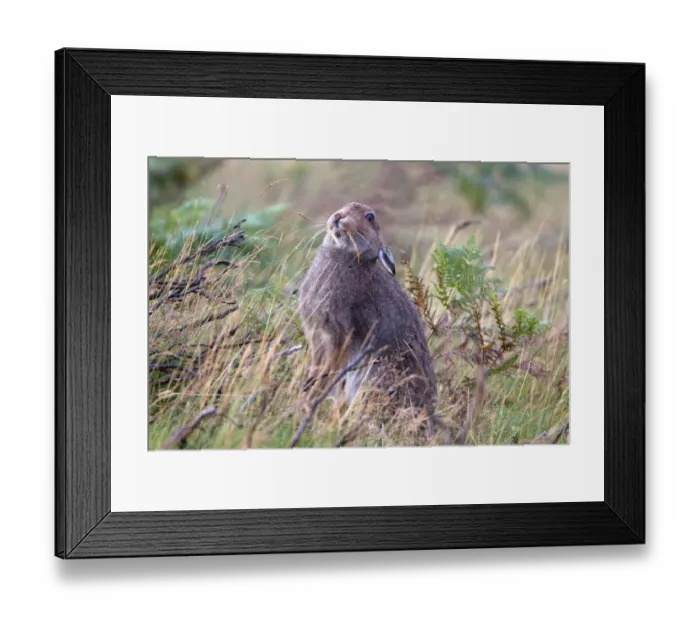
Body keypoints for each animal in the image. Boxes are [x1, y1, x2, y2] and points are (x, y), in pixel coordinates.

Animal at [298, 201, 438, 435]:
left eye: (369, 217)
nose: (337, 217)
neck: (350, 257)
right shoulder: (317, 336)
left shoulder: (336, 332)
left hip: (373, 378)